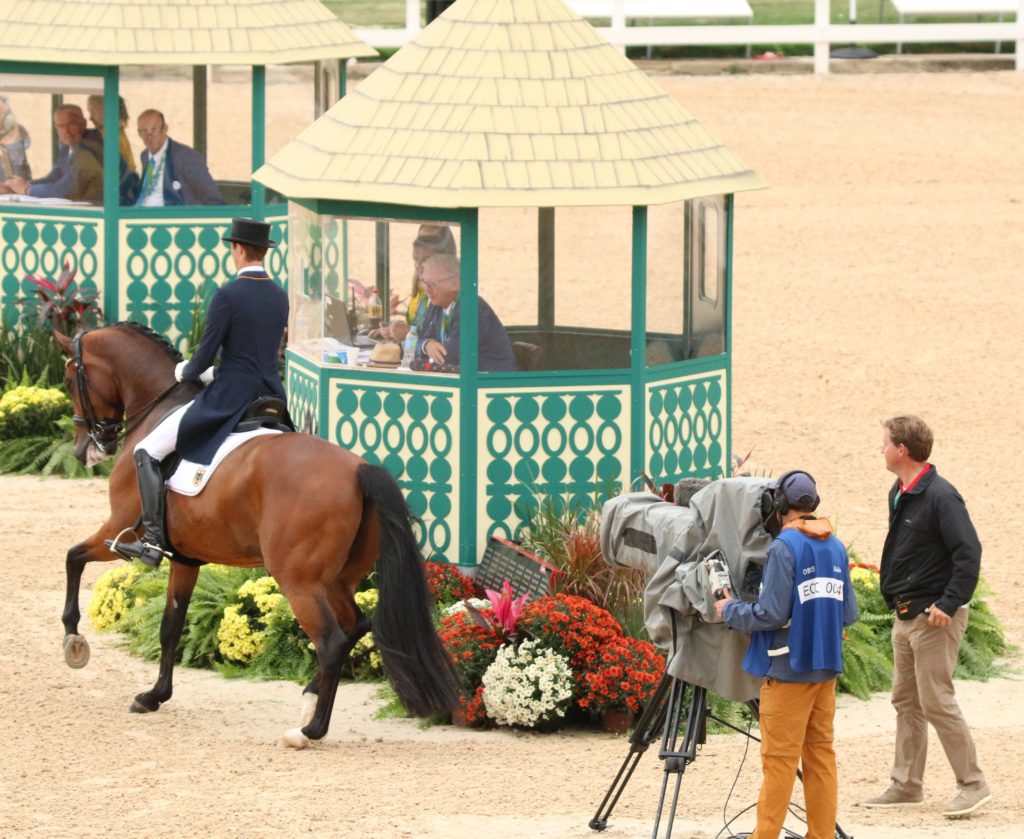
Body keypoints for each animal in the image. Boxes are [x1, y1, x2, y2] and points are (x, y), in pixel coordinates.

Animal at [51, 325, 460, 749]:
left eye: (69, 380)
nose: (84, 450)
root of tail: (359, 470)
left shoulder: (117, 531)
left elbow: (72, 557)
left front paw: (73, 641)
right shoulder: (185, 559)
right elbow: (170, 626)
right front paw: (154, 695)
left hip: (298, 580)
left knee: (331, 641)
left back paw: (309, 730)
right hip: (337, 579)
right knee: (355, 627)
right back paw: (309, 700)